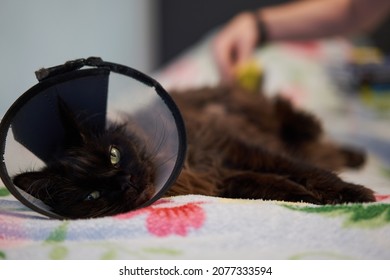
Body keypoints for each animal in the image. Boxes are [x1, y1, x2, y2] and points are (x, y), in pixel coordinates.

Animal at [13, 85, 376, 219]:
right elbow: (276, 185)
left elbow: (306, 171)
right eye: (91, 195)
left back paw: (357, 157)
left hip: (286, 120)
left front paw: (353, 194)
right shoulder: (227, 178)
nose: (126, 180)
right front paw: (309, 198)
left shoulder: (234, 149)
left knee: (315, 139)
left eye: (113, 155)